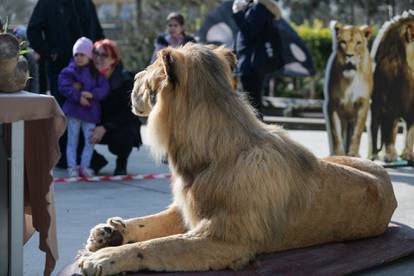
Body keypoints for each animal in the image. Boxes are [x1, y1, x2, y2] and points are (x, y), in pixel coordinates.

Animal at [77, 44, 398, 274]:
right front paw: (109, 233)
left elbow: (159, 245)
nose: (132, 77)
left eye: (150, 69)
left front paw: (106, 256)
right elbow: (148, 224)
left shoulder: (228, 239)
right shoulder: (187, 210)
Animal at [326, 21, 374, 157]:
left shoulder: (363, 104)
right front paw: (338, 154)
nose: (349, 55)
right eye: (343, 42)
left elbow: (357, 132)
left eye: (358, 43)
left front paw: (353, 154)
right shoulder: (333, 104)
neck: (350, 81)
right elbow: (335, 133)